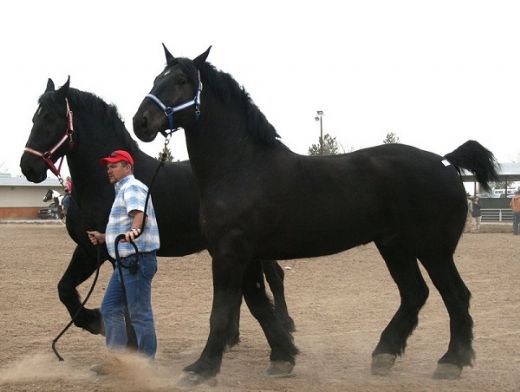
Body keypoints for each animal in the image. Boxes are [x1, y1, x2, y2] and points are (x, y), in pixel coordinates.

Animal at [19, 77, 292, 350]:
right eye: (34, 118)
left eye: (50, 118)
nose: (28, 167)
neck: (104, 185)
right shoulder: (88, 249)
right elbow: (64, 289)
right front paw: (95, 321)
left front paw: (124, 341)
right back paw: (231, 337)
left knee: (274, 277)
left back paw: (285, 326)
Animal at [131, 46, 500, 386]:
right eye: (156, 78)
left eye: (181, 80)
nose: (141, 122)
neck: (241, 166)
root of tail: (445, 161)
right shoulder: (247, 255)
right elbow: (259, 304)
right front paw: (282, 357)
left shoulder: (229, 253)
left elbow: (222, 312)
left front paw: (202, 368)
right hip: (394, 246)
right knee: (415, 293)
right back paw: (384, 354)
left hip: (433, 249)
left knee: (455, 295)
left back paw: (451, 361)